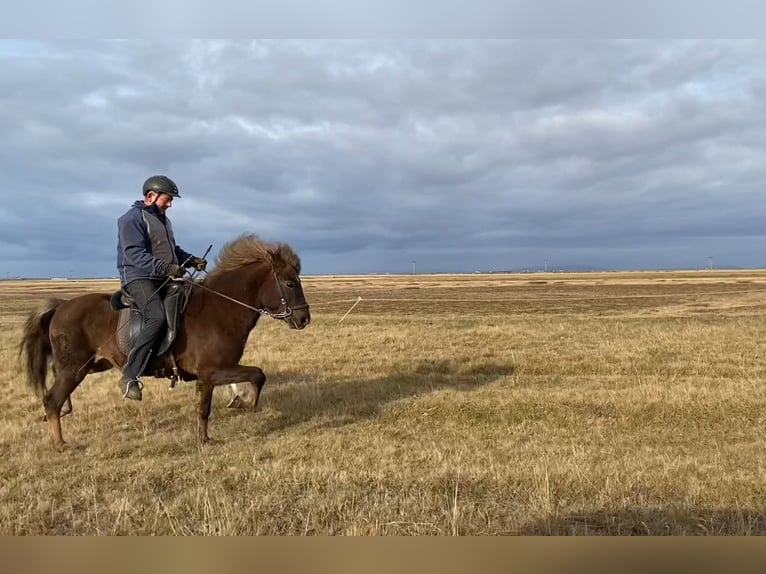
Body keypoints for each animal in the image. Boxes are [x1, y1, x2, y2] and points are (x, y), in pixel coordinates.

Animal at [18, 234, 311, 446]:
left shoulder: (216, 373)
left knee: (55, 394)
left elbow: (231, 389)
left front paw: (231, 407)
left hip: (89, 366)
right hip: (74, 370)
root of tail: (61, 306)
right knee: (51, 399)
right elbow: (250, 380)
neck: (220, 309)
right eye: (289, 283)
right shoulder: (211, 373)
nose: (304, 318)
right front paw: (239, 409)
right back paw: (60, 443)